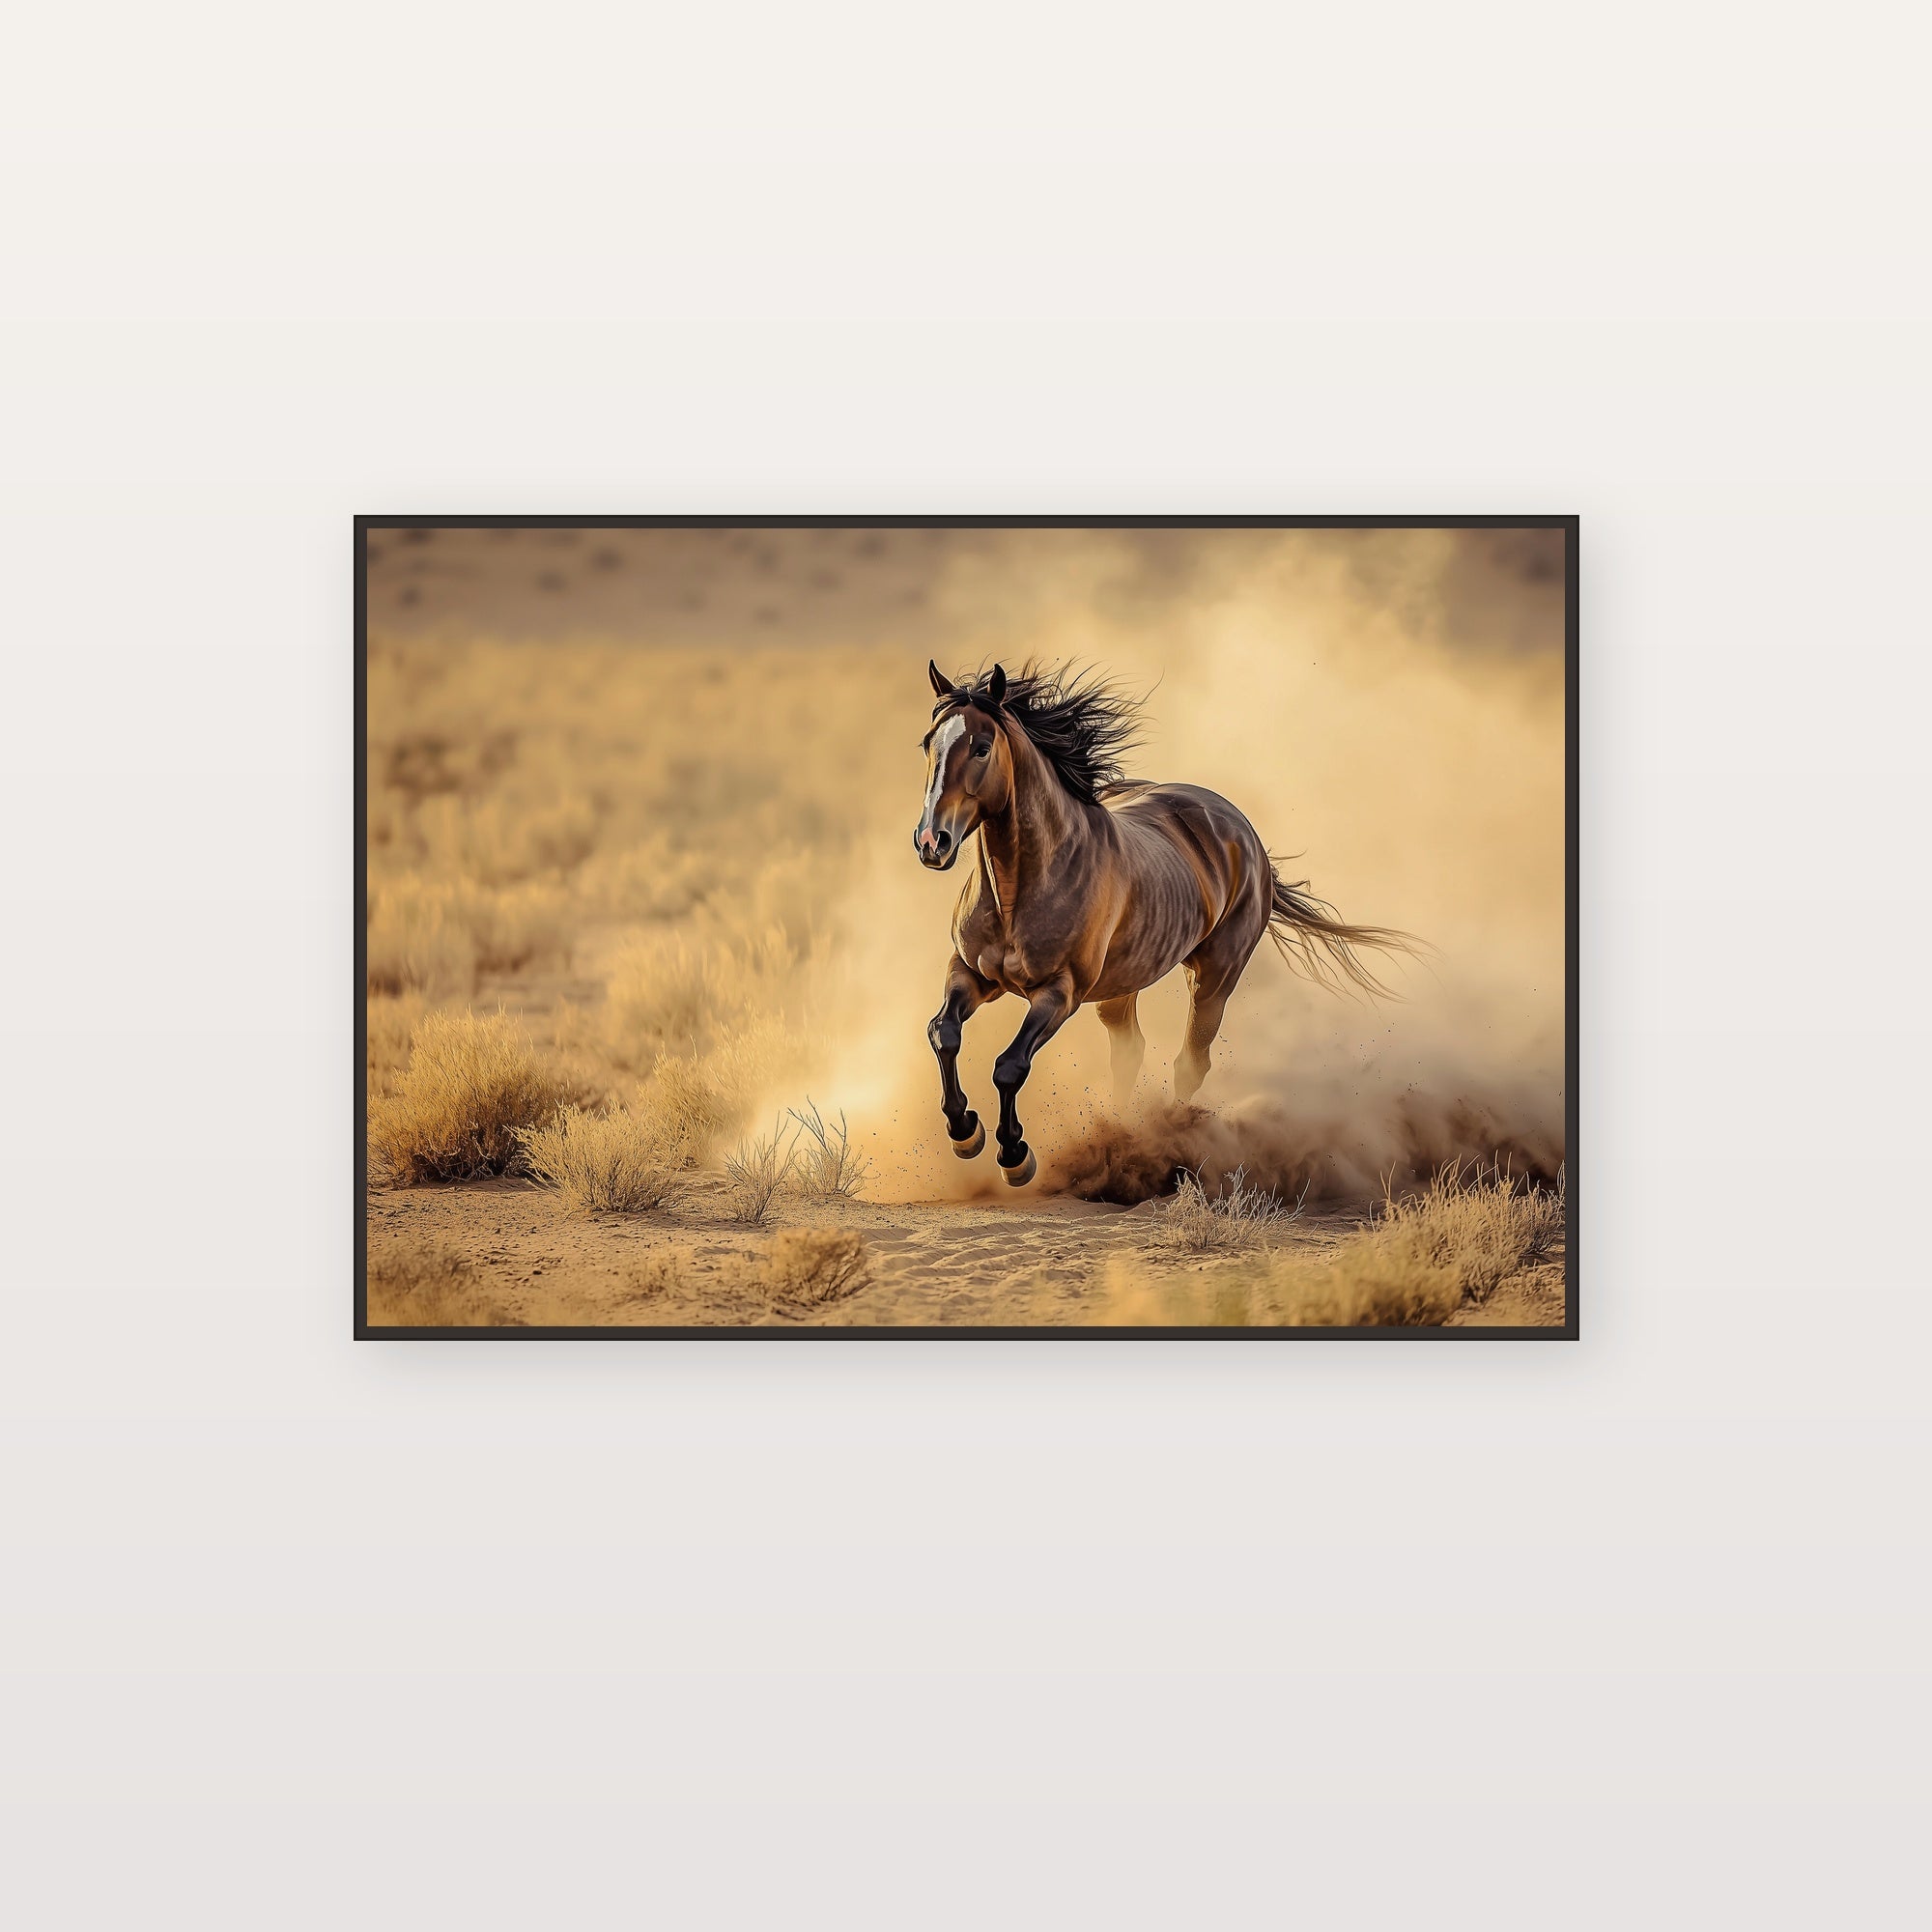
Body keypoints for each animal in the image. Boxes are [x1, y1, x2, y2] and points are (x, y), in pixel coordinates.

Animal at [913, 659, 1417, 1187]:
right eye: (928, 743)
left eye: (982, 748)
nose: (931, 842)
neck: (1022, 890)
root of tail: (1241, 829)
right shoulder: (970, 972)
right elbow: (943, 1032)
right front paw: (965, 1132)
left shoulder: (1059, 993)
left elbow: (1009, 1065)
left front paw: (1015, 1155)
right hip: (1122, 985)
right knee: (1130, 1050)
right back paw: (1118, 1133)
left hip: (1214, 977)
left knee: (1191, 1062)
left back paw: (1172, 1144)